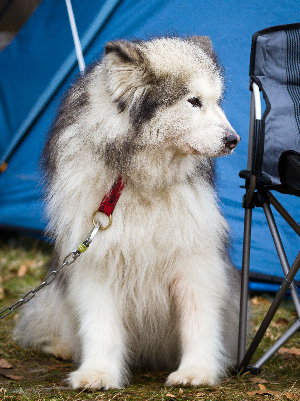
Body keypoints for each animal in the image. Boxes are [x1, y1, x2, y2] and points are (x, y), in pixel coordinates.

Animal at [15, 36, 243, 388]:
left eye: (217, 101)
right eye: (193, 101)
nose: (234, 140)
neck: (139, 181)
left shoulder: (195, 259)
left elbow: (198, 320)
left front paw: (197, 371)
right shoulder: (97, 262)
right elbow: (100, 326)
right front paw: (97, 373)